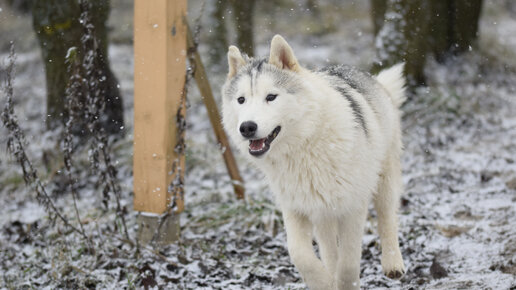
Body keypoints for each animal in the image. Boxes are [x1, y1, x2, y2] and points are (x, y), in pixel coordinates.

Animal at [222, 35, 408, 288]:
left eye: (271, 97)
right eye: (241, 100)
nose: (247, 127)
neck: (304, 148)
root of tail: (371, 77)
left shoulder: (353, 208)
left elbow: (349, 263)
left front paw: (345, 284)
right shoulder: (295, 208)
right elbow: (300, 255)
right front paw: (324, 282)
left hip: (383, 183)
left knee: (387, 219)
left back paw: (393, 264)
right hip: (323, 214)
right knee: (329, 248)